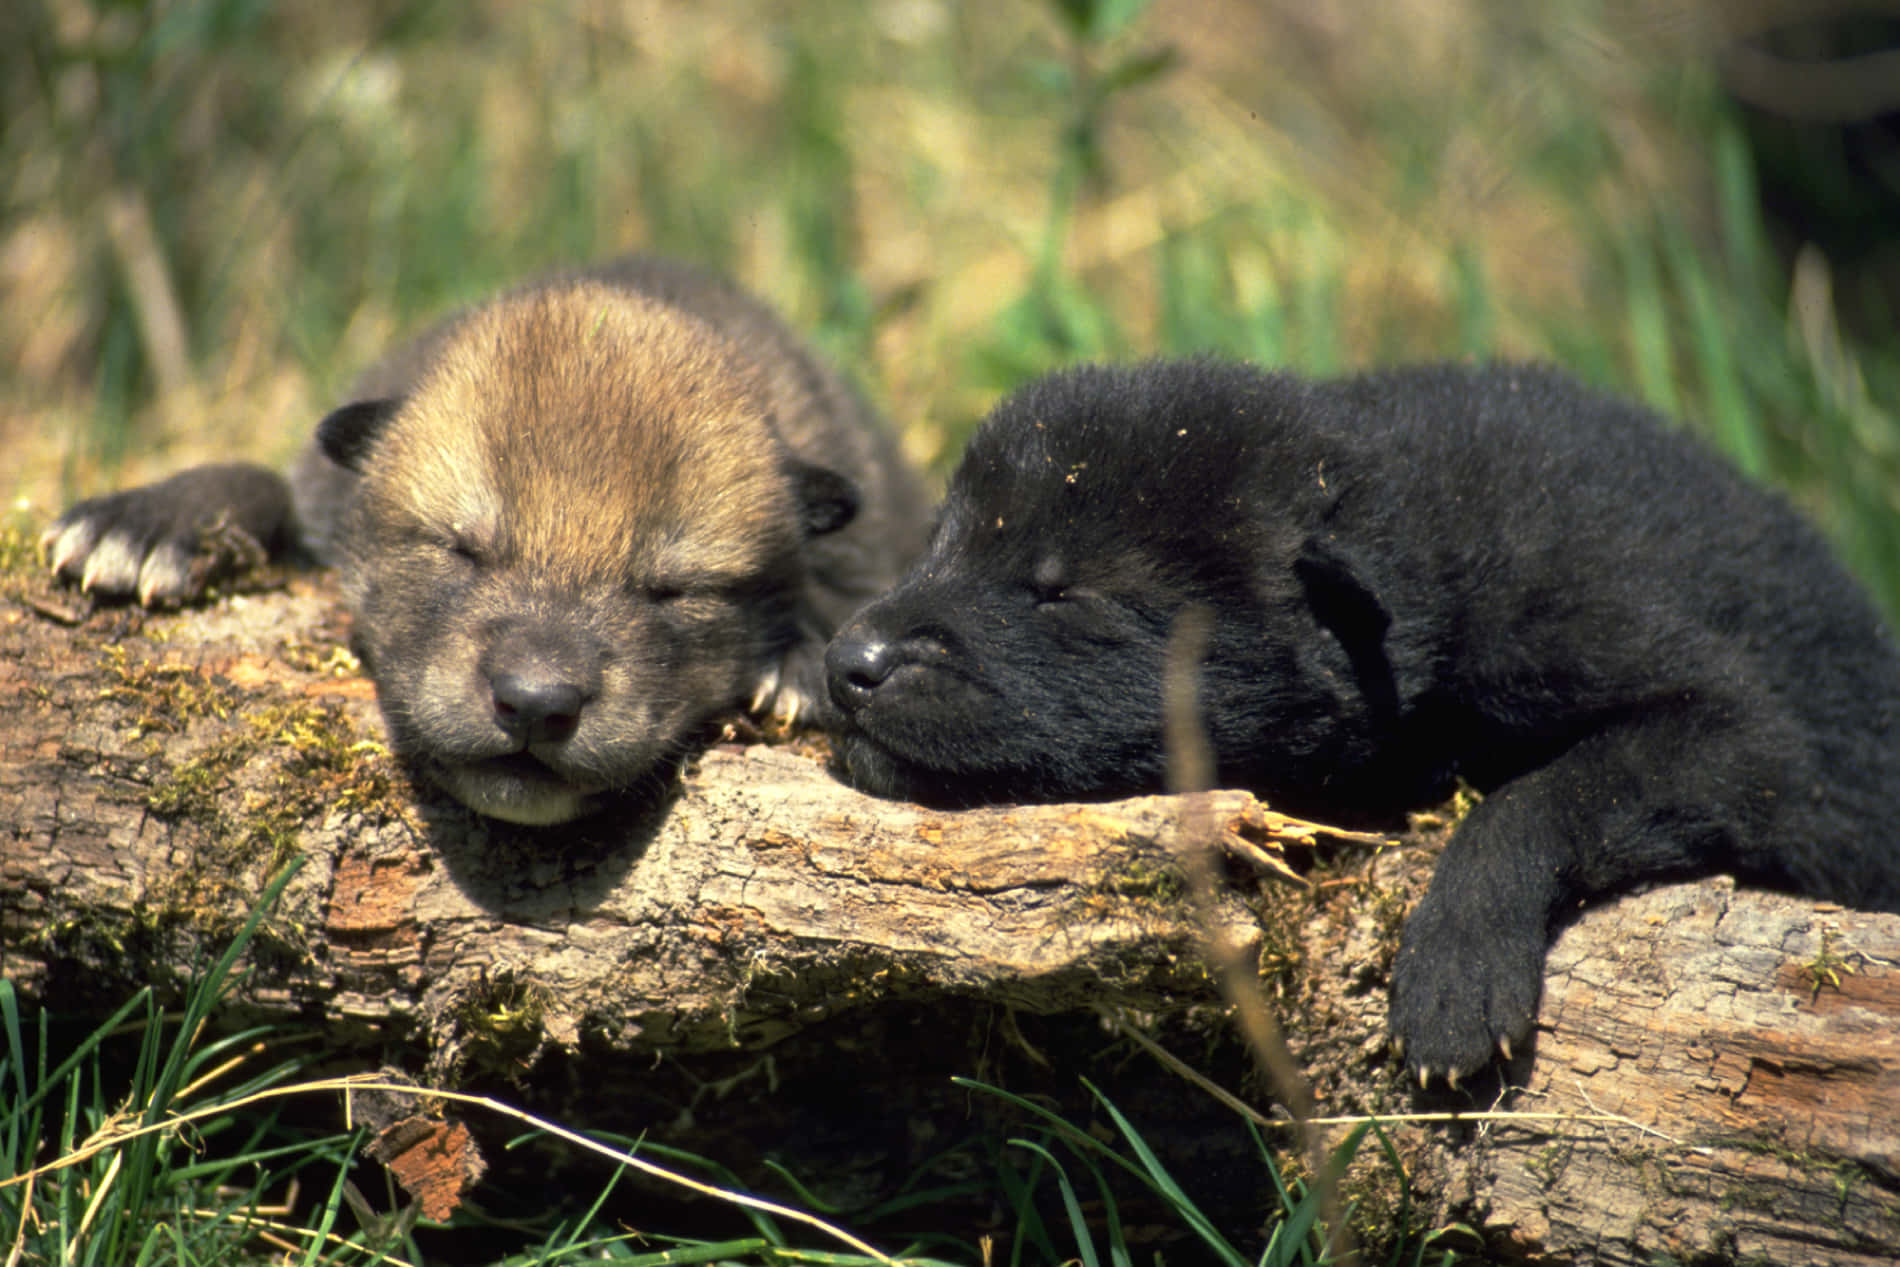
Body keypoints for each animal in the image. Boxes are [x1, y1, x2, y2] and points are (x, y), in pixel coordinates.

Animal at [828, 360, 1900, 1086]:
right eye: (936, 545)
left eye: (1060, 592)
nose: (848, 663)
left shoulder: (1730, 728)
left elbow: (1547, 792)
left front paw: (1457, 971)